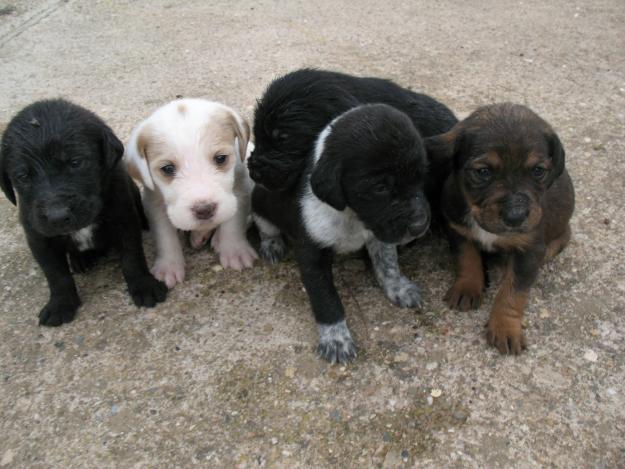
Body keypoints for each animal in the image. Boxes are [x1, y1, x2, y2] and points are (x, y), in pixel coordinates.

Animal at [0, 98, 168, 326]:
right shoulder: (38, 237)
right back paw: (80, 260)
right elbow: (55, 274)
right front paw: (60, 304)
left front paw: (144, 285)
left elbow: (132, 257)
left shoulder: (124, 219)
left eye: (76, 162)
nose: (57, 216)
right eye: (22, 176)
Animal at [125, 97, 258, 288]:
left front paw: (235, 251)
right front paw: (169, 267)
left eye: (221, 158)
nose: (205, 210)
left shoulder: (240, 190)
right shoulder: (154, 204)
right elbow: (165, 237)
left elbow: (233, 224)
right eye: (167, 169)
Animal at [251, 104, 436, 364]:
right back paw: (272, 244)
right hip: (260, 202)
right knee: (265, 226)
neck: (352, 215)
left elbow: (388, 264)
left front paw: (398, 288)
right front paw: (336, 338)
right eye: (380, 187)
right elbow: (326, 298)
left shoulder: (379, 232)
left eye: (421, 176)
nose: (421, 226)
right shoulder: (311, 254)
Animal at [424, 101, 576, 352]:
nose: (515, 217)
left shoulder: (529, 249)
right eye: (483, 172)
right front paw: (467, 288)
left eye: (538, 171)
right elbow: (467, 259)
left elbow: (512, 293)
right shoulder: (458, 230)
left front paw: (505, 327)